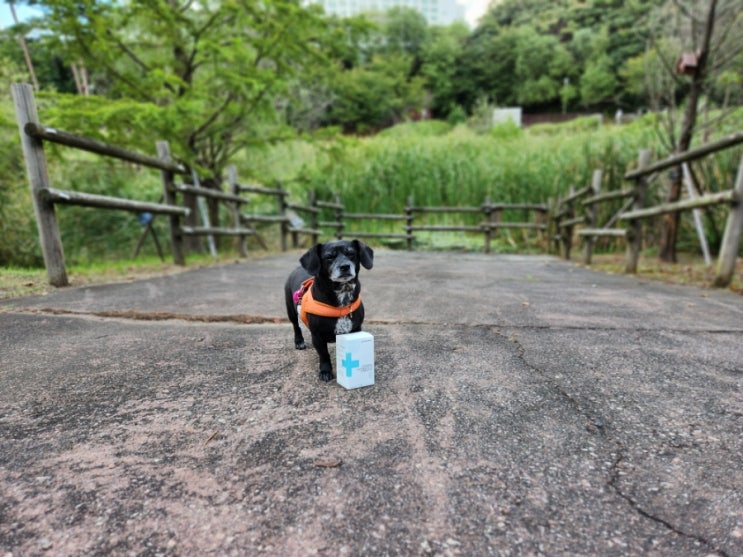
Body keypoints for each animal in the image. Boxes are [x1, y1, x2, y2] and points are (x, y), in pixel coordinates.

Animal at [288, 239, 374, 382]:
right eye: (329, 257)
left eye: (351, 254)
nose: (345, 266)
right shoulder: (317, 336)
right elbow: (324, 354)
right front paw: (325, 371)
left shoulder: (356, 329)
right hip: (291, 311)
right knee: (296, 326)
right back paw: (299, 341)